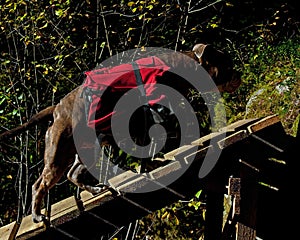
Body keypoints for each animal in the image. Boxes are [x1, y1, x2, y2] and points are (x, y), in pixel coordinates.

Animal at [0, 43, 241, 223]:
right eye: (228, 66)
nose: (238, 74)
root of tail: (57, 109)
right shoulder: (154, 112)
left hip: (83, 150)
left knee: (73, 174)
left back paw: (94, 190)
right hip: (57, 156)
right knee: (39, 184)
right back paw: (37, 215)